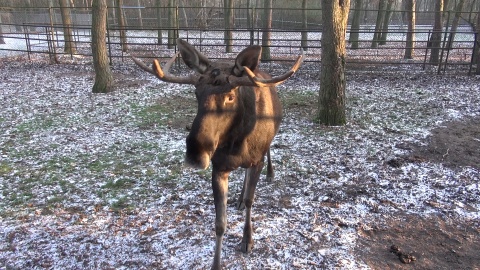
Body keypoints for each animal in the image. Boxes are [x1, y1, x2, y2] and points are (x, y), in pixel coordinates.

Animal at [133, 39, 302, 268]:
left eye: (230, 96)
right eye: (196, 93)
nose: (196, 152)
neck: (237, 143)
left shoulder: (256, 160)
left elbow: (251, 200)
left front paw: (247, 240)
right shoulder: (218, 167)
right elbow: (220, 223)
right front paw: (216, 263)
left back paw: (269, 174)